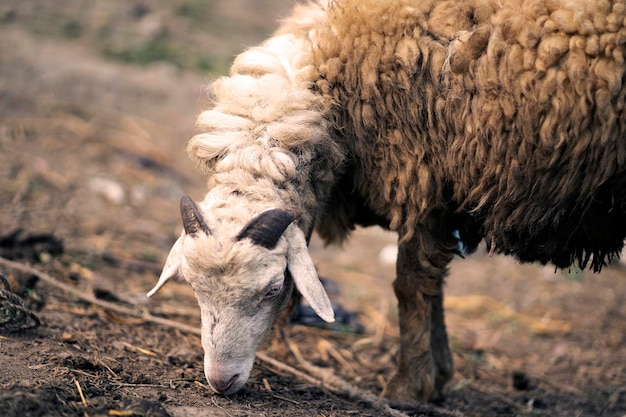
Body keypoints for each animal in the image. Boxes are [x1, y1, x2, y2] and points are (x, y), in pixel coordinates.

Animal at [149, 0, 624, 404]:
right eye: (191, 287)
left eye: (274, 287)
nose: (220, 381)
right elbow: (434, 288)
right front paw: (439, 376)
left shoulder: (423, 178)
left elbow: (412, 285)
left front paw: (409, 388)